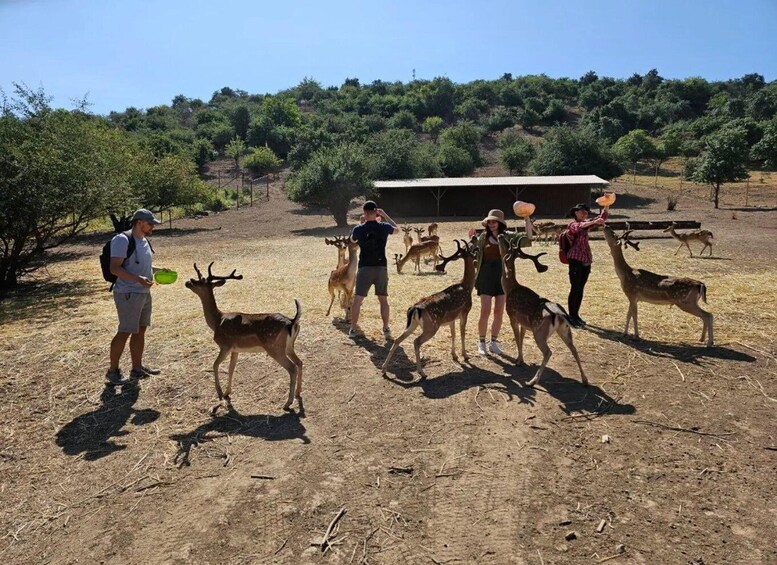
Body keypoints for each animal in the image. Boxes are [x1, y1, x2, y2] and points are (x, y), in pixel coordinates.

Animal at [185, 263, 303, 415]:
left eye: (198, 281)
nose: (187, 282)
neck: (216, 322)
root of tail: (292, 322)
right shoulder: (235, 350)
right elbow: (231, 368)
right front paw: (227, 393)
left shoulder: (225, 345)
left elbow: (215, 365)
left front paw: (219, 393)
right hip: (289, 346)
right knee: (300, 362)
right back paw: (298, 394)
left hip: (274, 347)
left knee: (292, 367)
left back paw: (287, 403)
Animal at [382, 239, 477, 378]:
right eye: (470, 252)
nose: (476, 256)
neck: (467, 286)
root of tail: (415, 308)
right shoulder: (465, 312)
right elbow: (462, 333)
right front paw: (465, 355)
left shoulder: (451, 319)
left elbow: (453, 334)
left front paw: (454, 355)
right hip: (431, 326)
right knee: (416, 341)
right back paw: (422, 373)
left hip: (412, 324)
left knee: (398, 339)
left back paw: (384, 369)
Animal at [497, 234, 588, 387]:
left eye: (506, 244)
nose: (500, 235)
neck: (510, 288)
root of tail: (559, 315)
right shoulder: (525, 324)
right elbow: (521, 338)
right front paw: (520, 359)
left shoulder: (512, 316)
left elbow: (517, 338)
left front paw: (518, 361)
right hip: (565, 330)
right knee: (574, 348)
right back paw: (585, 380)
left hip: (539, 331)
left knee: (548, 352)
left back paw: (532, 381)